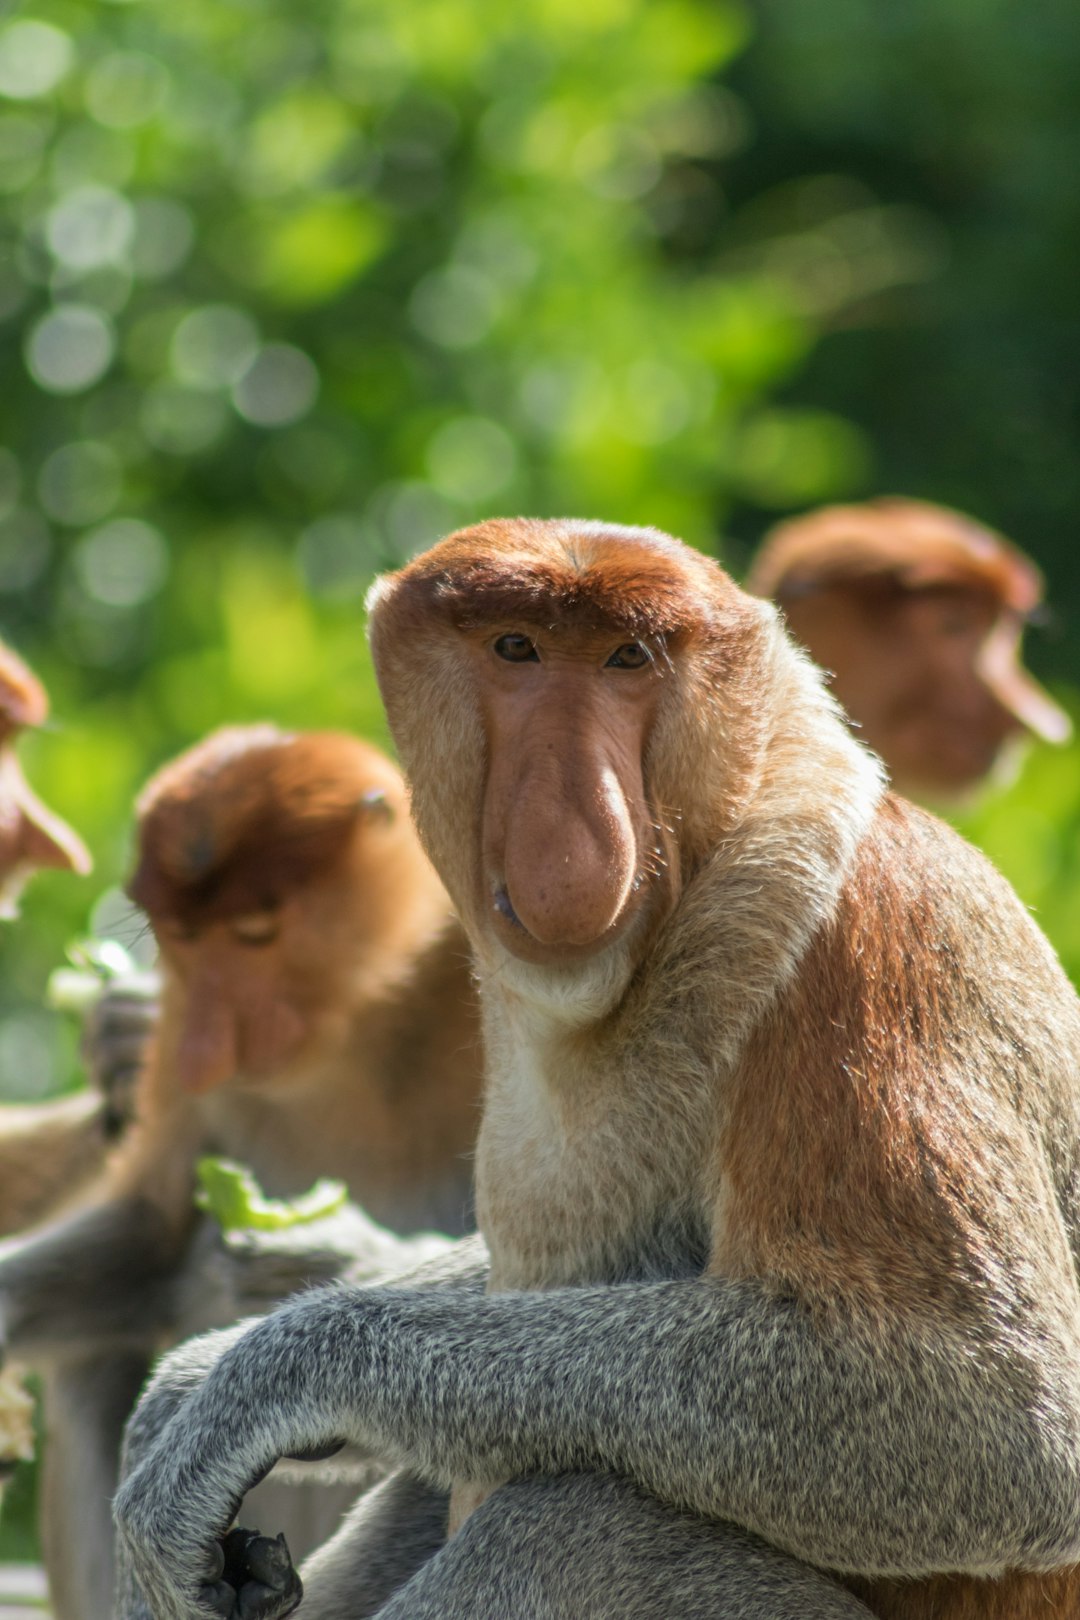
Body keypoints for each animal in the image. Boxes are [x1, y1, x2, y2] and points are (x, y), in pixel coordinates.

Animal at [0, 729, 482, 1620]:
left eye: (256, 931)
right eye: (177, 937)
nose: (203, 1046)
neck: (360, 1030)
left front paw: (327, 1254)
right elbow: (151, 1230)